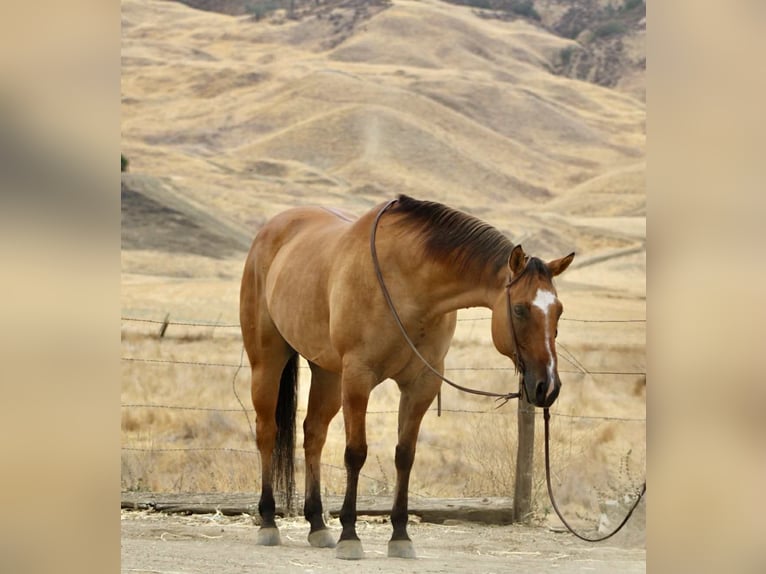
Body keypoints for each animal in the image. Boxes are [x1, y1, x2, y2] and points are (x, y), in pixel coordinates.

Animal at [239, 195, 574, 560]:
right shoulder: (358, 377)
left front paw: (400, 535)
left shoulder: (421, 384)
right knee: (267, 433)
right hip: (268, 363)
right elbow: (356, 453)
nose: (548, 386)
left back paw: (317, 525)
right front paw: (350, 535)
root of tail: (270, 231)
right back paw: (268, 522)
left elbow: (405, 455)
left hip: (327, 374)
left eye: (559, 311)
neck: (408, 285)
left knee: (314, 435)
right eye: (519, 309)